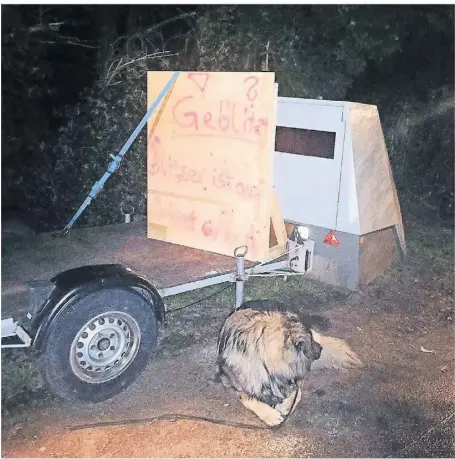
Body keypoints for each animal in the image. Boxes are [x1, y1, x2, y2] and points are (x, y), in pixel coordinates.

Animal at [215, 300, 364, 430]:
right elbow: (248, 397)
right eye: (310, 340)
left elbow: (298, 394)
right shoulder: (229, 379)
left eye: (311, 336)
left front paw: (285, 405)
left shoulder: (294, 376)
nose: (321, 348)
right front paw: (270, 415)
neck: (262, 356)